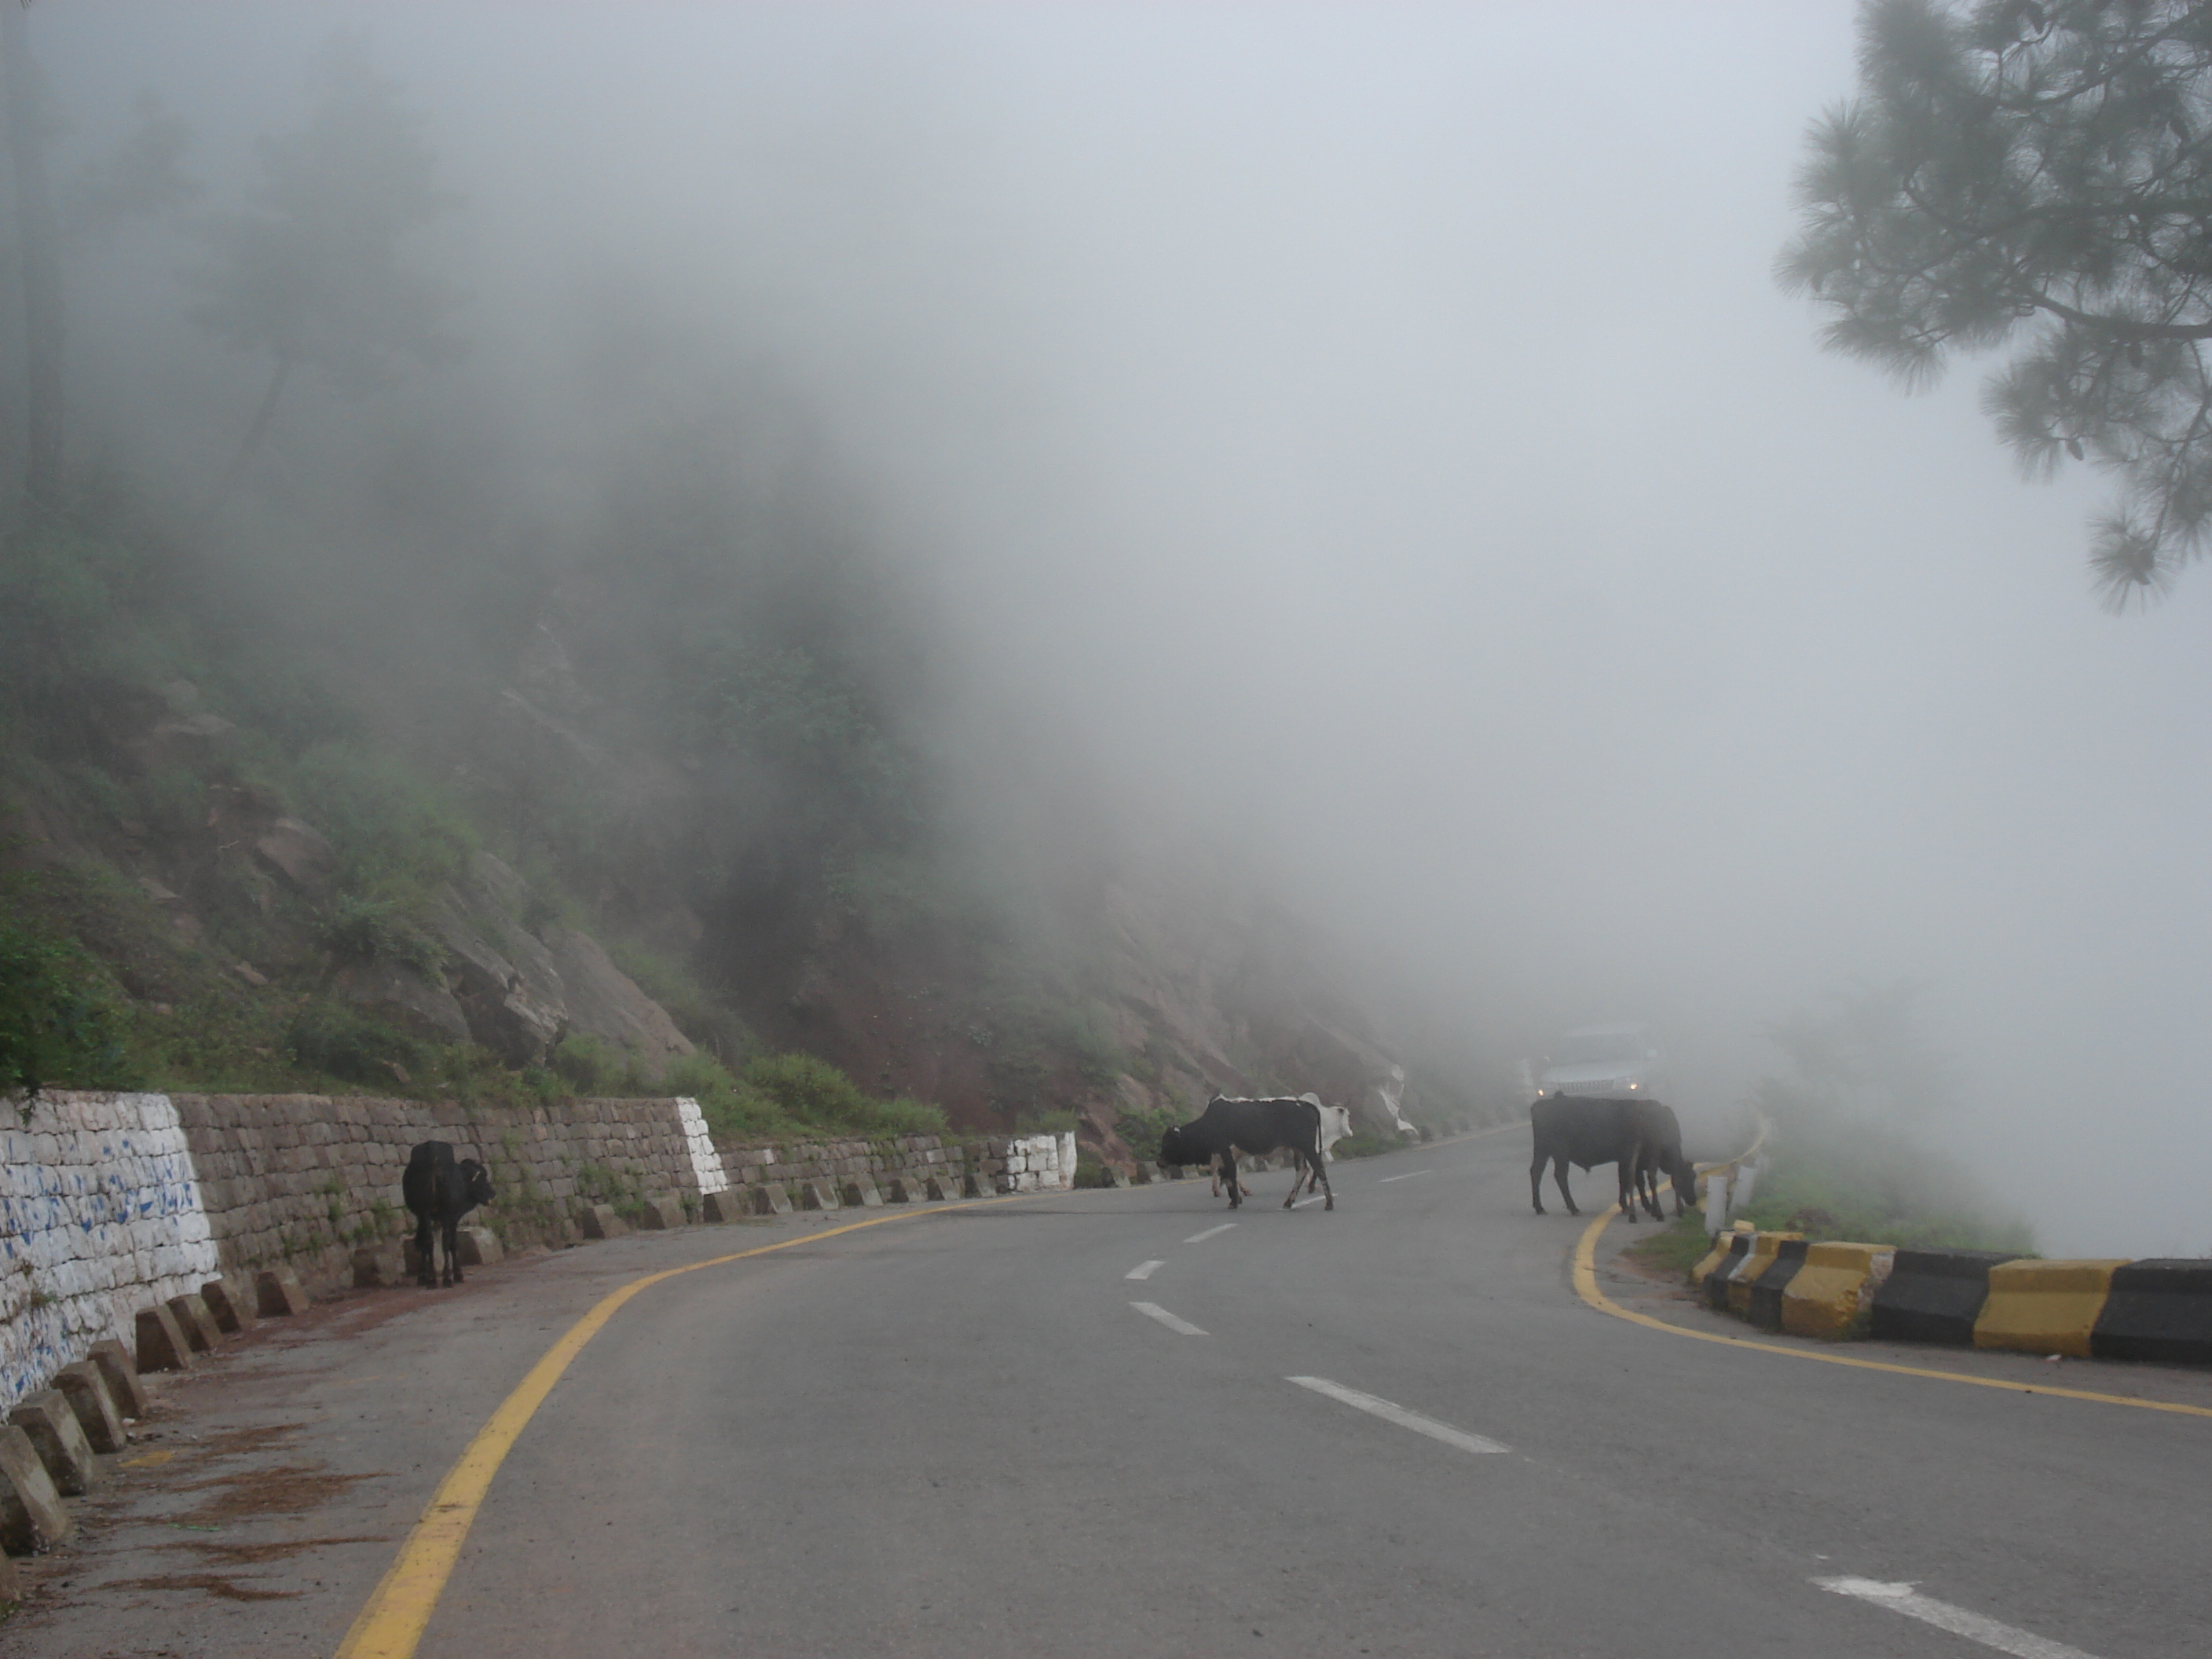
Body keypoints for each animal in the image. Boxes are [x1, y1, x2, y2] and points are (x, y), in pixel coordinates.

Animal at [405, 1150, 500, 1291]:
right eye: (481, 1178)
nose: (493, 1194)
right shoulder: (453, 1218)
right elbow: (452, 1243)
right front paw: (457, 1274)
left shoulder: (425, 1218)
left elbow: (424, 1243)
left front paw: (424, 1276)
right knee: (444, 1241)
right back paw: (446, 1278)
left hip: (424, 1214)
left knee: (427, 1241)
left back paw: (430, 1279)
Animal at [1159, 1097, 1327, 1212]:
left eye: (1167, 1143)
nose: (1159, 1162)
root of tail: (1306, 1104)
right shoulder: (1225, 1155)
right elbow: (1227, 1175)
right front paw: (1236, 1198)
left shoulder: (1225, 1152)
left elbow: (1230, 1174)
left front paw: (1235, 1201)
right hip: (1299, 1150)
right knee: (1303, 1170)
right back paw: (1290, 1201)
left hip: (1307, 1147)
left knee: (1316, 1168)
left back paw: (1326, 1201)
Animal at [1530, 1097, 1681, 1229]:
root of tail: (1540, 1105)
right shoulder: (1629, 1160)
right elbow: (1635, 1181)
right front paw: (1644, 1206)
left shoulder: (1624, 1161)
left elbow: (1625, 1181)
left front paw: (1627, 1205)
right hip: (1560, 1155)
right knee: (1559, 1176)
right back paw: (1574, 1209)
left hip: (1543, 1153)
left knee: (1536, 1172)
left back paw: (1540, 1208)